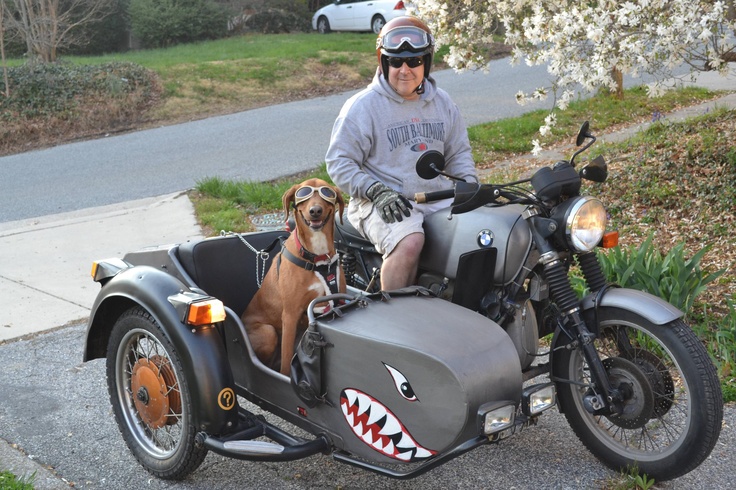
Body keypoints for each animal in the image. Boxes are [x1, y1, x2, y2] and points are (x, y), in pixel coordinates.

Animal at [242, 179, 344, 376]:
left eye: (327, 193)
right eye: (303, 194)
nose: (315, 210)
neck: (316, 257)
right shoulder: (290, 314)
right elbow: (287, 359)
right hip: (268, 332)